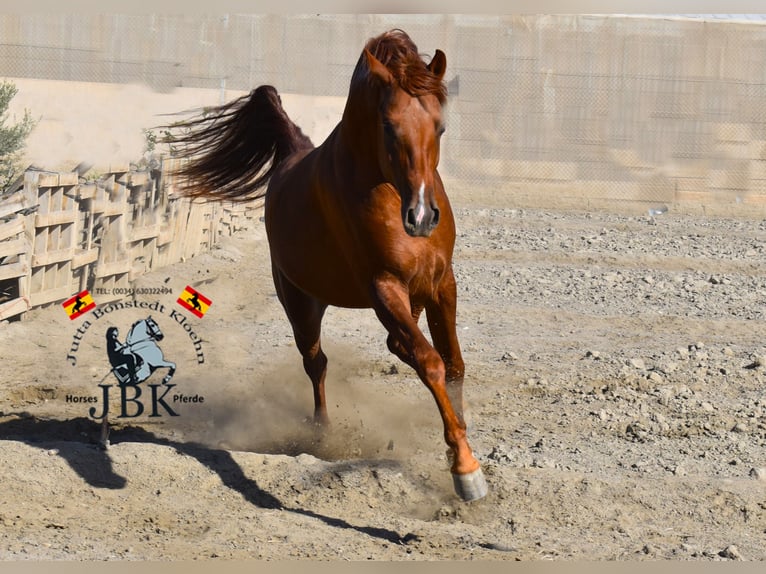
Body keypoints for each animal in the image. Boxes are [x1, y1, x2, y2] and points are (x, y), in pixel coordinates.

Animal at [171, 29, 488, 502]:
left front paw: (461, 443)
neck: (384, 188)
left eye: (440, 126)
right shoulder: (383, 288)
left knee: (392, 347)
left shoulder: (441, 283)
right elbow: (430, 362)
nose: (421, 217)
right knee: (317, 363)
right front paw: (466, 471)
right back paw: (322, 433)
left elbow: (452, 364)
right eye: (388, 126)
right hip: (302, 305)